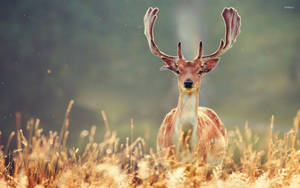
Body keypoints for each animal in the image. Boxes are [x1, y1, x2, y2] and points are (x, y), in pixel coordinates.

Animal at [144, 6, 241, 166]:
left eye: (200, 70)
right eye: (178, 70)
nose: (188, 82)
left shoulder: (201, 161)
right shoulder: (168, 162)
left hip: (218, 163)